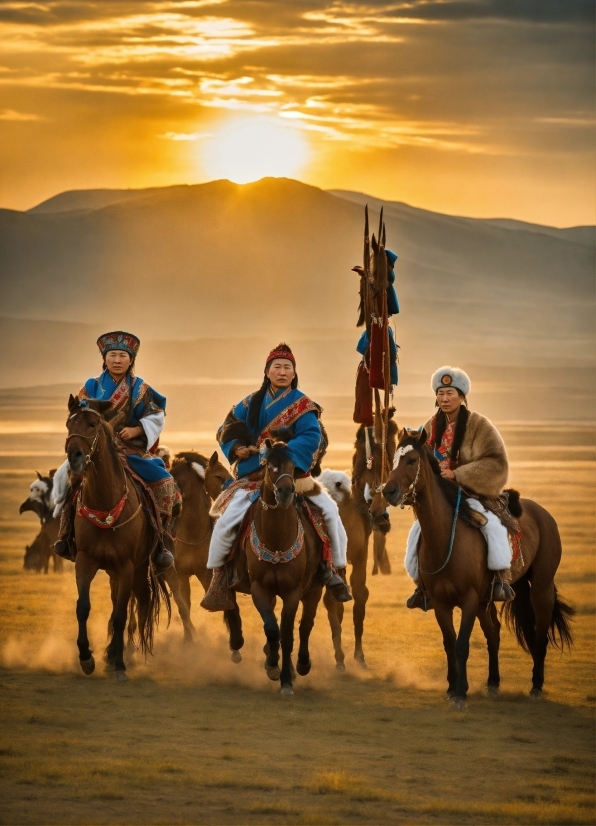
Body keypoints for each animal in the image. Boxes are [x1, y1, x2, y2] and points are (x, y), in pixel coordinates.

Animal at [64, 396, 170, 680]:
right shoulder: (85, 561)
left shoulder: (126, 567)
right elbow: (83, 607)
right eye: (68, 424)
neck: (105, 503)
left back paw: (116, 656)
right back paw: (109, 654)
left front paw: (120, 665)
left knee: (137, 602)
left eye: (92, 424)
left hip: (139, 567)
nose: (74, 457)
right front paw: (86, 658)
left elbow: (121, 614)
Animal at [169, 450, 243, 656]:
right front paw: (188, 640)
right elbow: (183, 606)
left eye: (222, 475)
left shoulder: (207, 573)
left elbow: (225, 605)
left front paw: (234, 647)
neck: (192, 533)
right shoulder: (180, 574)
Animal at [241, 438, 326, 696]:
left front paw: (287, 680)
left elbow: (288, 634)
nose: (286, 493)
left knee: (305, 626)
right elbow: (271, 627)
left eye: (292, 467)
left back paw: (303, 664)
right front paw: (272, 665)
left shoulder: (293, 592)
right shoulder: (259, 588)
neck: (277, 541)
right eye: (269, 466)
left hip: (314, 590)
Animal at [318, 412, 398, 668]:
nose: (380, 514)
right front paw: (340, 658)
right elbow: (337, 602)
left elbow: (359, 597)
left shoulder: (359, 558)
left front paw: (358, 656)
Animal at [382, 428, 572, 704]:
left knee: (540, 634)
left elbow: (462, 644)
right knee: (494, 632)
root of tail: (543, 514)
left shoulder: (469, 599)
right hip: (488, 598)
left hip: (541, 588)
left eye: (412, 460)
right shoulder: (441, 602)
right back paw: (493, 683)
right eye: (394, 460)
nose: (388, 492)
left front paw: (461, 693)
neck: (444, 539)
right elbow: (450, 643)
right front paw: (453, 687)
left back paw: (536, 686)